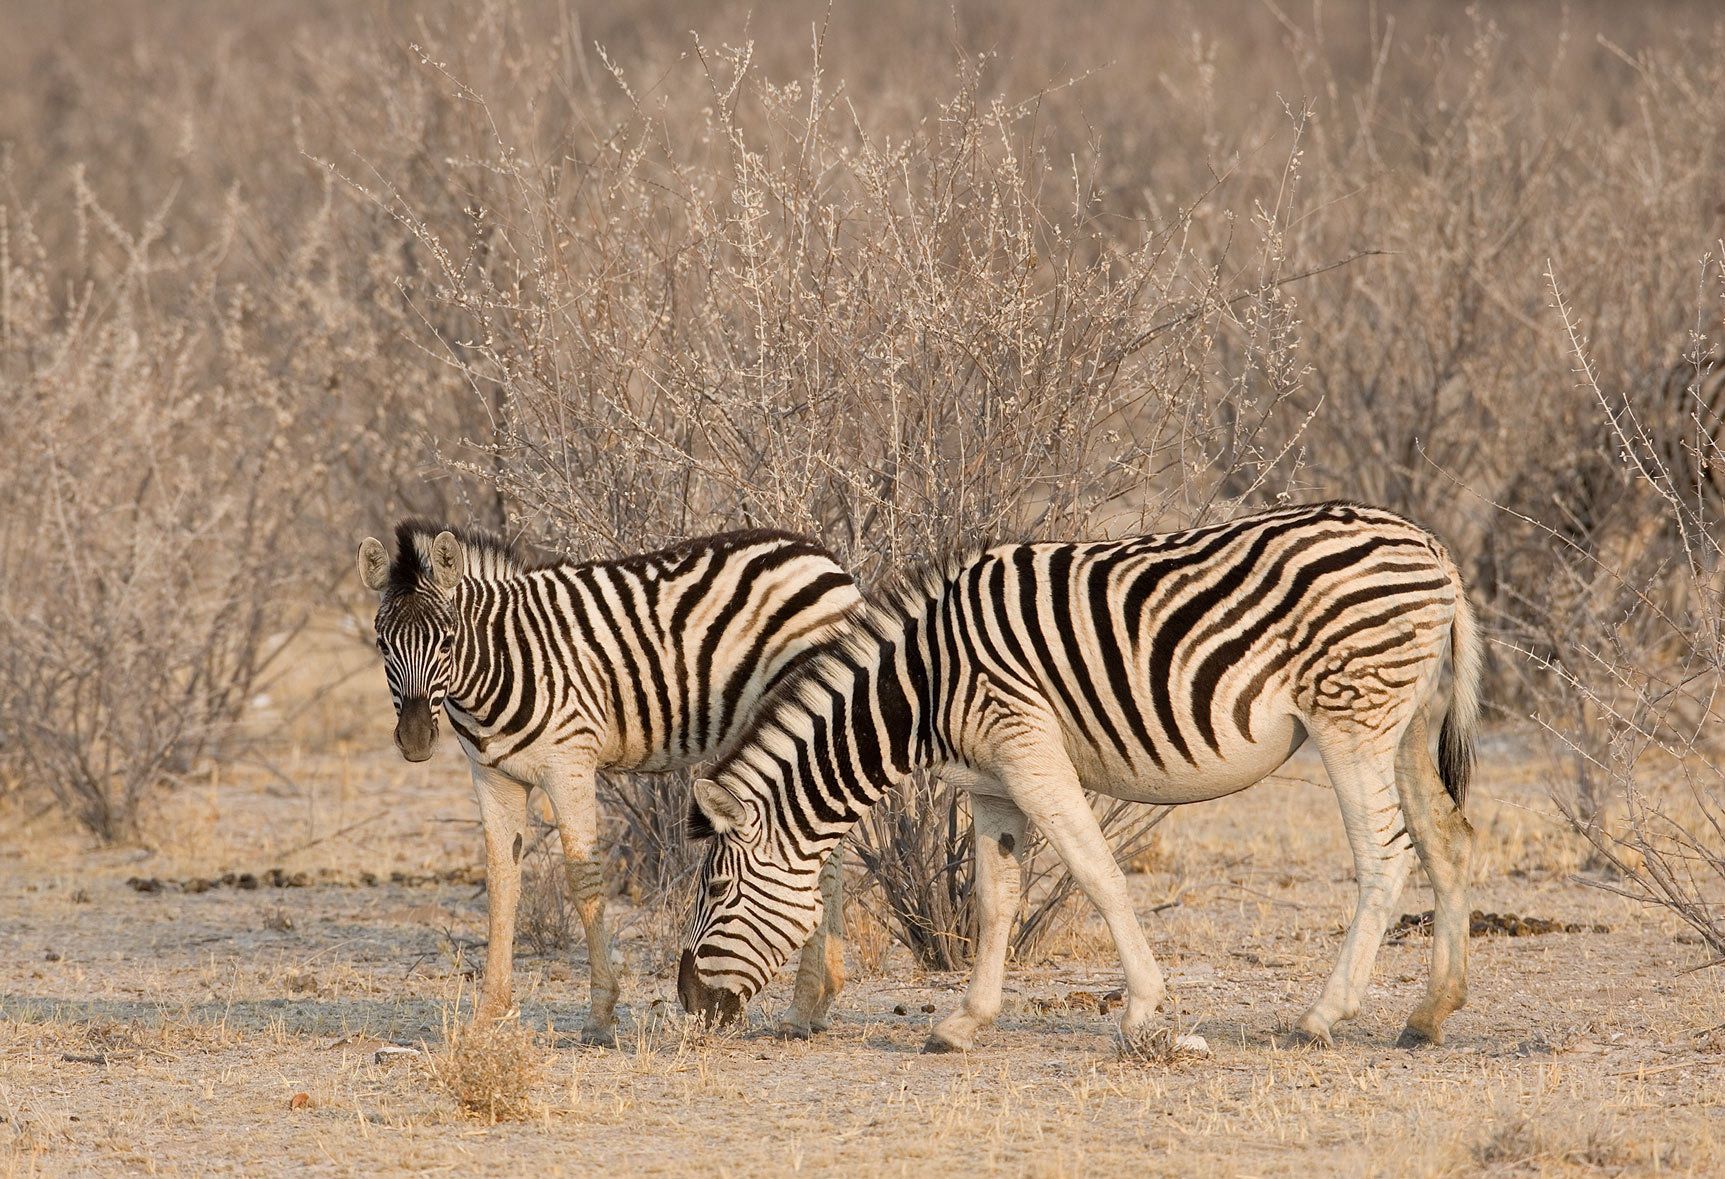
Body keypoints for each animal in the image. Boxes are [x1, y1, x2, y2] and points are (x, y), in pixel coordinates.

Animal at [358, 520, 863, 1044]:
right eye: (381, 644)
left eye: (447, 641)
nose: (416, 740)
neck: (499, 665)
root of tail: (820, 555)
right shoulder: (492, 775)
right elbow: (501, 880)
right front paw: (490, 1014)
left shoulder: (568, 764)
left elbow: (584, 880)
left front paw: (600, 1014)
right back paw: (822, 999)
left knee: (824, 857)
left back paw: (803, 1007)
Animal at [678, 501, 1482, 1051]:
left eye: (716, 891)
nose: (688, 1005)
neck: (923, 686)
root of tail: (1432, 547)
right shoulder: (990, 783)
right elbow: (996, 900)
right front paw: (963, 1022)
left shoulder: (1028, 751)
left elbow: (1097, 873)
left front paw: (1140, 1009)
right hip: (1404, 724)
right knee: (1448, 841)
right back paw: (1430, 1012)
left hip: (1351, 721)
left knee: (1386, 853)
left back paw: (1322, 1014)